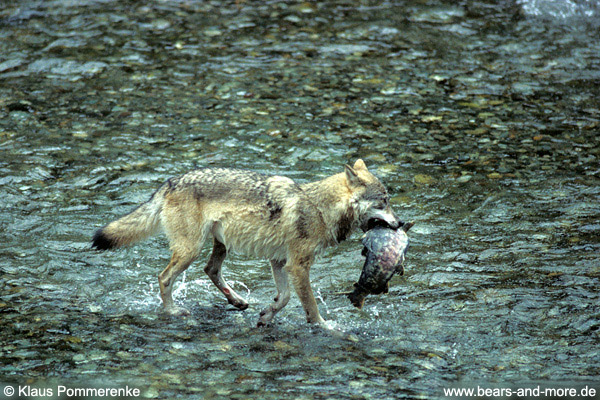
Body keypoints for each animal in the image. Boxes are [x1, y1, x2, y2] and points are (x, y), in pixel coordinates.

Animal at [92, 158, 398, 326]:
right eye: (383, 202)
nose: (400, 224)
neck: (320, 208)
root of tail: (170, 182)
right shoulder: (298, 266)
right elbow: (310, 307)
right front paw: (326, 327)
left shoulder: (279, 261)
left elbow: (284, 298)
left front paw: (266, 316)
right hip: (191, 250)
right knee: (164, 277)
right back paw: (173, 311)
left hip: (219, 245)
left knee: (210, 270)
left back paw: (237, 301)